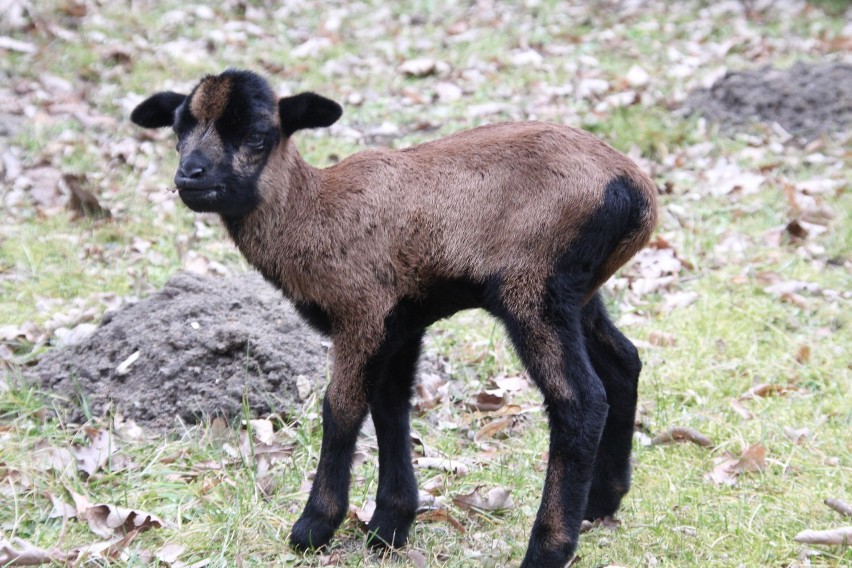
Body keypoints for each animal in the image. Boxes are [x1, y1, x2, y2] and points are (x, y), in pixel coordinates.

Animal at [131, 70, 660, 568]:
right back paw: (603, 501)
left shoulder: (361, 312)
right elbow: (390, 405)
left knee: (580, 401)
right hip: (577, 292)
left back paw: (547, 550)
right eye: (178, 130)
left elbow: (341, 409)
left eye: (259, 135)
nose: (190, 176)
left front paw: (314, 527)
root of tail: (637, 193)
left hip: (533, 288)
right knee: (624, 362)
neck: (313, 212)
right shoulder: (401, 322)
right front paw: (389, 526)